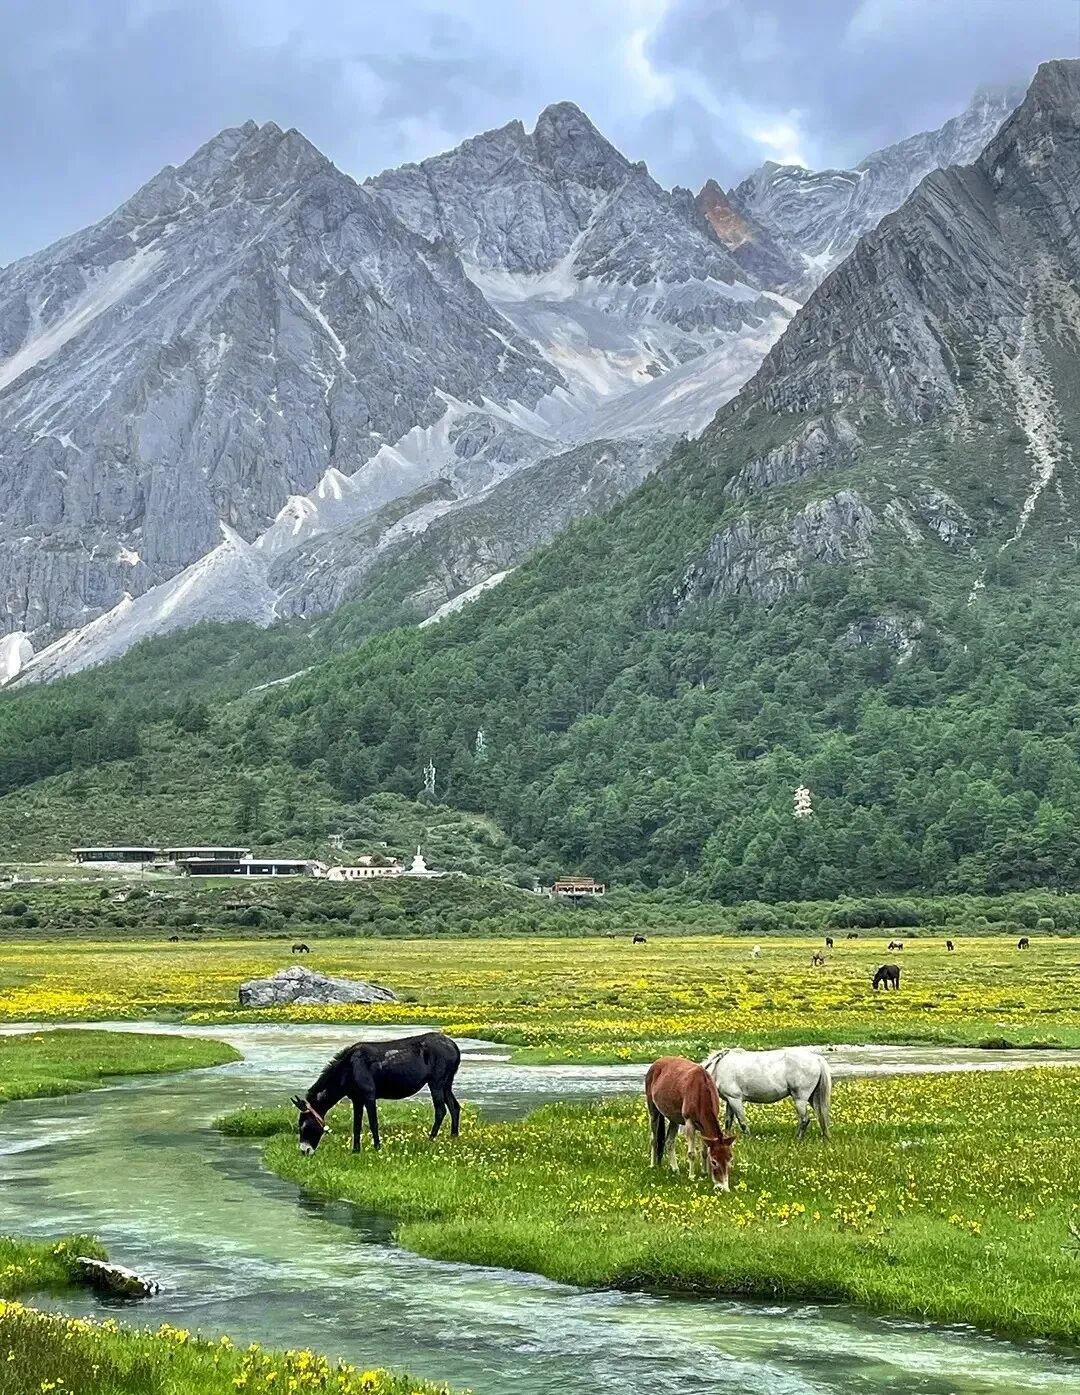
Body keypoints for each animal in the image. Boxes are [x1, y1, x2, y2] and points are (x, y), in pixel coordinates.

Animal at [292, 1031, 461, 1154]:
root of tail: (454, 1047)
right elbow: (357, 1125)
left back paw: (430, 1139)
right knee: (455, 1107)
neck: (347, 1072)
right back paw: (453, 1137)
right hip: (447, 1083)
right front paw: (355, 1150)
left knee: (441, 1110)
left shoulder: (369, 1095)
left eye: (303, 1126)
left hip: (436, 1082)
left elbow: (373, 1123)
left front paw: (377, 1148)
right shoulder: (357, 1099)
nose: (305, 1151)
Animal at [645, 1057, 735, 1189]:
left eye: (729, 1159)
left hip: (674, 1118)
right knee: (654, 1139)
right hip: (653, 1110)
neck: (701, 1091)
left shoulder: (703, 1127)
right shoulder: (689, 1122)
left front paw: (704, 1173)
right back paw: (652, 1165)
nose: (723, 1187)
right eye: (714, 1162)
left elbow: (704, 1151)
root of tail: (656, 1063)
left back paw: (675, 1169)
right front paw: (691, 1176)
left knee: (669, 1142)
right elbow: (692, 1153)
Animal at [703, 1046, 831, 1140]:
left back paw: (797, 1139)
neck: (718, 1068)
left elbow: (742, 1121)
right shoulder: (730, 1100)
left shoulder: (735, 1099)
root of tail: (816, 1058)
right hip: (812, 1098)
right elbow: (728, 1122)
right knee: (820, 1115)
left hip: (800, 1099)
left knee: (805, 1119)